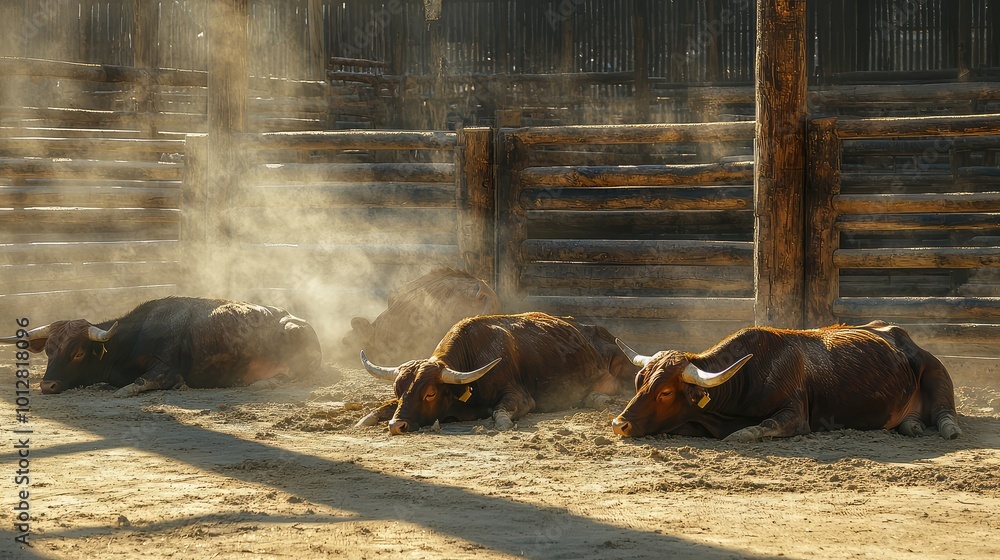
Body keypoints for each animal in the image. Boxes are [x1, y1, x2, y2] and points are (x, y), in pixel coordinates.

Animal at [1, 297, 323, 397]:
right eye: (49, 350)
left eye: (78, 352)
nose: (48, 386)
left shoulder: (167, 371)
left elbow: (134, 385)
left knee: (296, 374)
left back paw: (263, 382)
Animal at [354, 312, 638, 435]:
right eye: (398, 390)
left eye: (431, 393)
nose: (397, 426)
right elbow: (383, 406)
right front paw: (366, 418)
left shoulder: (521, 397)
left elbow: (500, 412)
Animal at [612, 321, 961, 442]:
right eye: (639, 382)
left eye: (665, 392)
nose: (619, 424)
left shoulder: (794, 415)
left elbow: (759, 427)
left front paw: (740, 435)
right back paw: (911, 426)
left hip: (936, 373)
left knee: (945, 412)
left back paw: (948, 429)